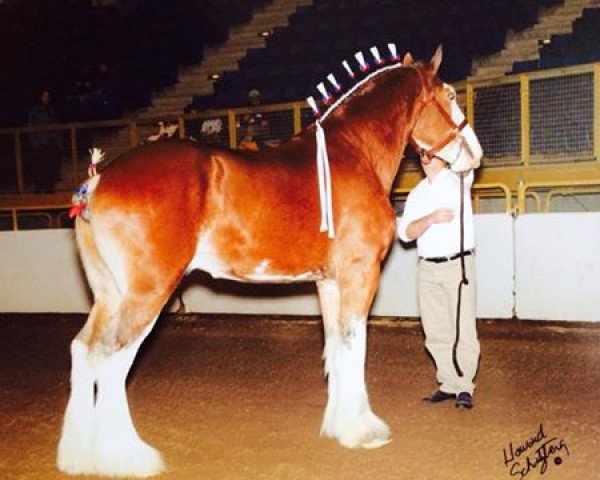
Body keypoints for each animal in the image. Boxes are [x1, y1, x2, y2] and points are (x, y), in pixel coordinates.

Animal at [58, 47, 482, 476]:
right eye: (449, 95)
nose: (475, 155)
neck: (352, 152)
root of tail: (97, 181)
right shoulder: (360, 275)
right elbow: (354, 346)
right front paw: (363, 430)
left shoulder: (329, 282)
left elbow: (335, 347)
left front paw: (339, 425)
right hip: (149, 292)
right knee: (112, 359)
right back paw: (128, 457)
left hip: (109, 295)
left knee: (83, 350)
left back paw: (77, 455)